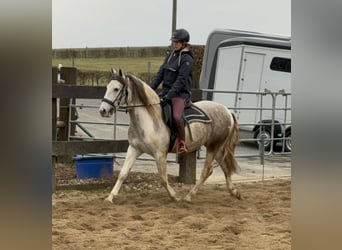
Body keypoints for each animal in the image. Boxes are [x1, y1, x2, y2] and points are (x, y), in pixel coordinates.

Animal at [99, 68, 240, 203]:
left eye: (116, 89)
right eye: (107, 87)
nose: (103, 111)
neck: (149, 120)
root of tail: (228, 111)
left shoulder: (160, 154)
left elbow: (163, 178)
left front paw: (174, 196)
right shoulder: (134, 149)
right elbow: (123, 173)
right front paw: (110, 198)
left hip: (213, 147)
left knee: (206, 171)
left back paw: (189, 196)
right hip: (216, 148)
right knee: (224, 166)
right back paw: (234, 192)